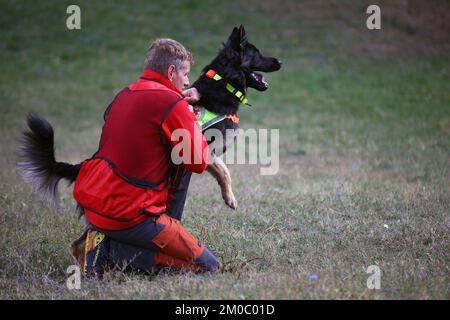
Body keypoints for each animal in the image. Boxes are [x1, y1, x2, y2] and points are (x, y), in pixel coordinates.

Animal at [16, 25, 282, 268]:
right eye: (256, 52)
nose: (280, 60)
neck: (224, 82)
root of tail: (86, 164)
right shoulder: (201, 149)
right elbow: (224, 171)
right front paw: (230, 198)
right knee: (83, 241)